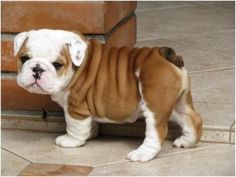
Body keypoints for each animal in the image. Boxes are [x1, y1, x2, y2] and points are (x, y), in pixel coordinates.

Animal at [14, 29, 203, 162]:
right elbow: (88, 125)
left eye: (57, 64)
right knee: (192, 119)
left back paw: (142, 154)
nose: (37, 69)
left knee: (157, 131)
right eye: (24, 58)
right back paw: (186, 141)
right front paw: (91, 133)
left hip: (155, 104)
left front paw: (71, 141)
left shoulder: (75, 107)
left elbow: (74, 127)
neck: (78, 65)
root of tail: (163, 54)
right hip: (179, 102)